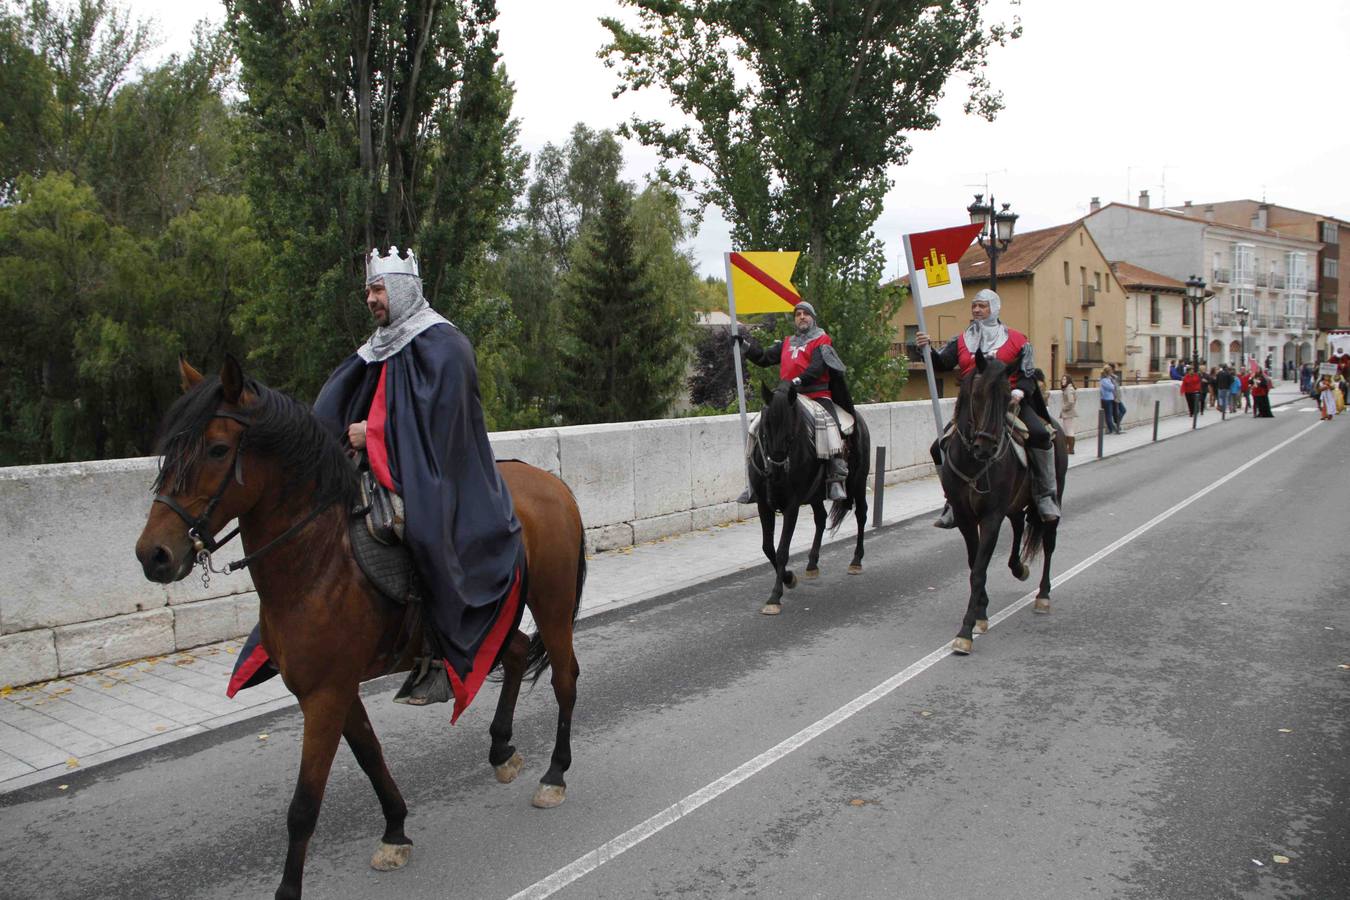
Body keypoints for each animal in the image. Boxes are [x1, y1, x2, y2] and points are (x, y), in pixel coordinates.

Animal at [134, 356, 588, 895]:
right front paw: (395, 831)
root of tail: (552, 484)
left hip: (552, 604)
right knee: (516, 651)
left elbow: (304, 804)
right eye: (170, 450)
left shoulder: (325, 694)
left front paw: (289, 890)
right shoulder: (333, 689)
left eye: (218, 449)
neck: (316, 560)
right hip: (491, 620)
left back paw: (555, 776)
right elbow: (371, 756)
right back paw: (502, 749)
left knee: (564, 678)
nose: (154, 555)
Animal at [745, 377, 869, 615]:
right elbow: (767, 547)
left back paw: (856, 561)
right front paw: (788, 578)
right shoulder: (763, 504)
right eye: (766, 425)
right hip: (814, 495)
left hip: (858, 482)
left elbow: (782, 550)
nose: (776, 471)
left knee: (861, 515)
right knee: (820, 518)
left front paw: (775, 596)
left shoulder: (792, 505)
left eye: (791, 428)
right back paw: (812, 564)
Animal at [939, 350, 1063, 655]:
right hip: (1015, 503)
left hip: (1052, 496)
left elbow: (979, 569)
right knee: (1018, 525)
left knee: (1049, 543)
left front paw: (966, 631)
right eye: (977, 395)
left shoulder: (991, 516)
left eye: (1008, 396)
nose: (986, 448)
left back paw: (1043, 595)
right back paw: (1018, 567)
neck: (973, 463)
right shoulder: (965, 517)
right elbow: (975, 564)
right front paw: (982, 614)